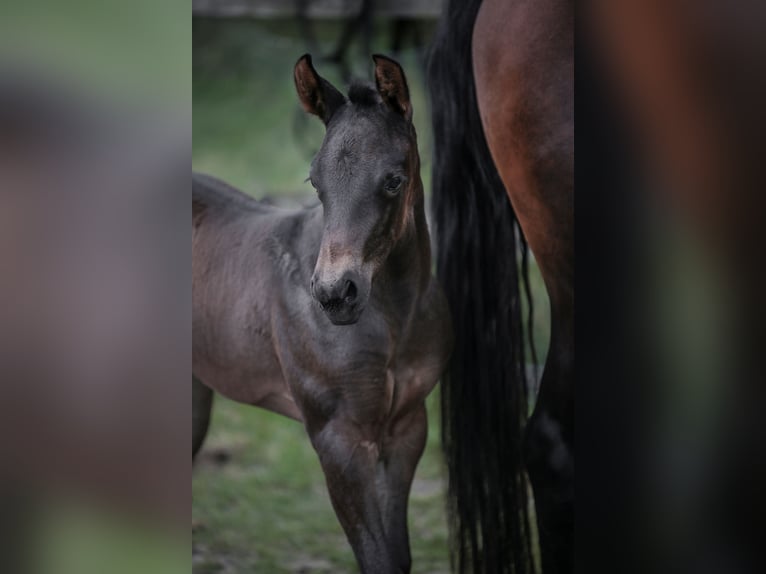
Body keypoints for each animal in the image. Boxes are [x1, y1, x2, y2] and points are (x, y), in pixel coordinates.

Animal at [192, 54, 452, 573]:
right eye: (315, 181)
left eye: (394, 179)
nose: (335, 294)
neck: (393, 319)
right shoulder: (339, 438)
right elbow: (378, 558)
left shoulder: (406, 428)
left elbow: (398, 556)